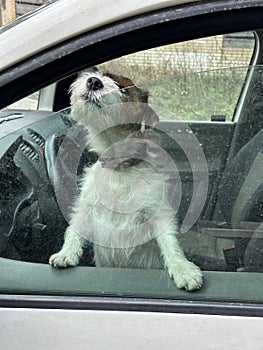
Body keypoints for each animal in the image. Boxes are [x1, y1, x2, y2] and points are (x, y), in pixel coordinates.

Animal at [48, 70, 203, 290]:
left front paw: (183, 268)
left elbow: (170, 242)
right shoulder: (87, 207)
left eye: (124, 90)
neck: (119, 167)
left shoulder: (158, 212)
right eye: (100, 74)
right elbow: (74, 229)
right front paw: (66, 253)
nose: (93, 81)